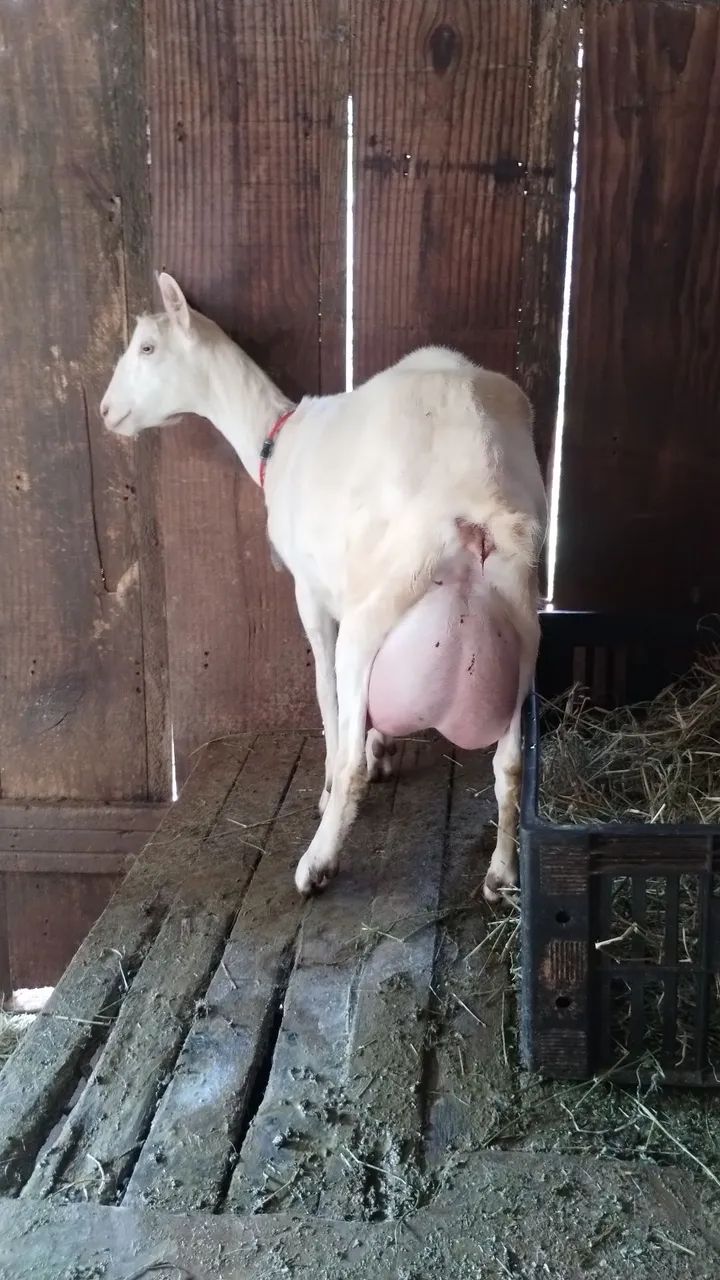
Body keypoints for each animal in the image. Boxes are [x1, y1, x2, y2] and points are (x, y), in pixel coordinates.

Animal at [101, 274, 547, 900]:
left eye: (146, 346)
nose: (107, 410)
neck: (276, 440)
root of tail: (480, 506)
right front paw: (384, 746)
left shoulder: (311, 594)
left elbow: (325, 695)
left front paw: (332, 783)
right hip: (520, 629)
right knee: (510, 765)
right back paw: (501, 873)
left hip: (375, 610)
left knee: (350, 712)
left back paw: (318, 861)